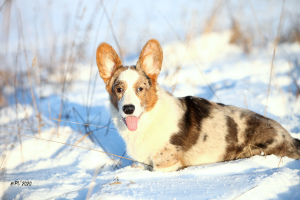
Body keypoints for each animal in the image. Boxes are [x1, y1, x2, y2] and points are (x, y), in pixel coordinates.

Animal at [96, 39, 300, 172]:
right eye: (119, 89)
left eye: (140, 88)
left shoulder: (165, 165)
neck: (147, 121)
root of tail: (290, 138)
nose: (128, 109)